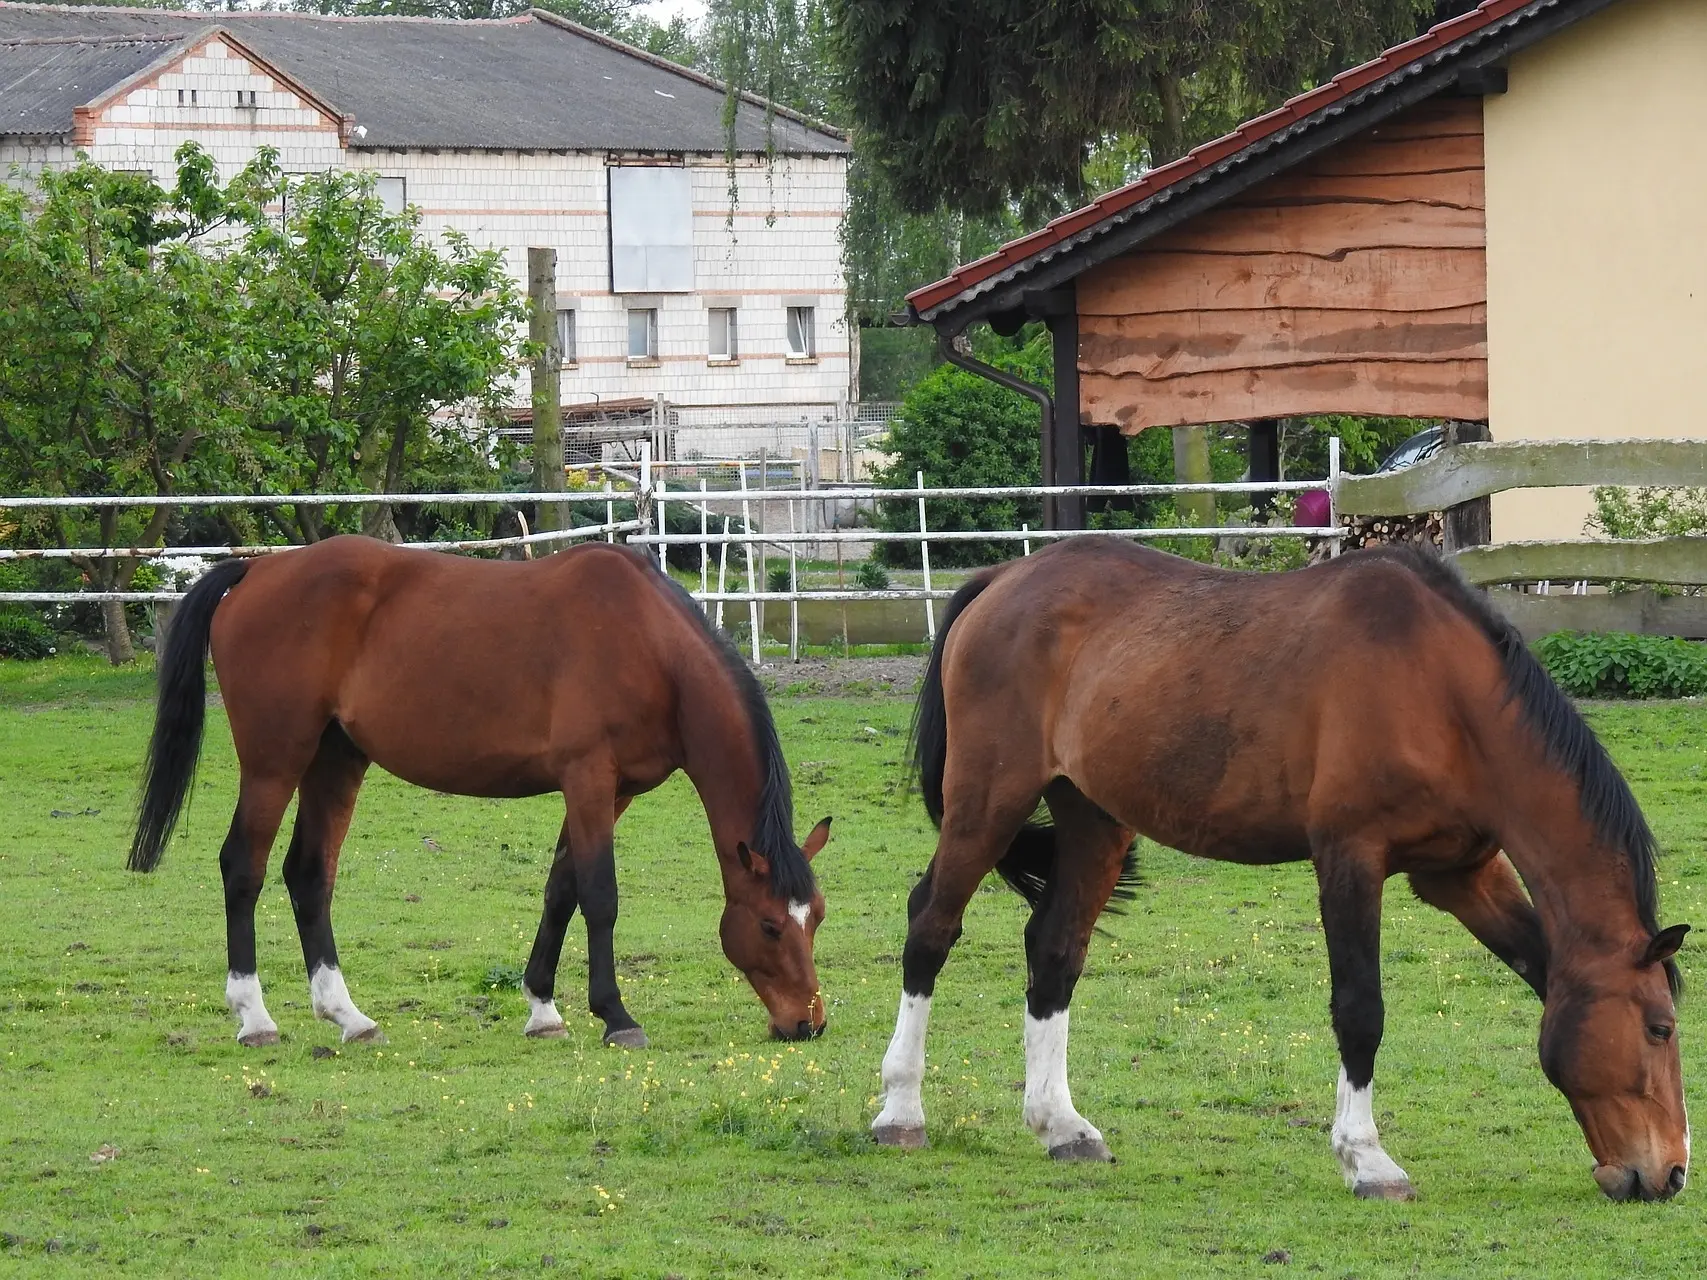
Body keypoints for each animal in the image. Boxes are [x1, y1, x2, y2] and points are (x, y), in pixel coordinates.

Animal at [128, 539, 833, 1051]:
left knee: (309, 873)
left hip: (335, 760)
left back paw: (348, 1016)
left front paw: (544, 1008)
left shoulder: (613, 790)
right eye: (770, 926)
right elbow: (599, 896)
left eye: (817, 919)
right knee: (242, 867)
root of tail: (259, 568)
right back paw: (254, 1018)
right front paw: (616, 1016)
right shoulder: (588, 777)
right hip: (275, 762)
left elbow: (562, 889)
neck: (652, 648)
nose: (807, 1023)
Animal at [880, 539, 1693, 1201]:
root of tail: (1003, 578)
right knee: (930, 926)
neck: (1441, 691)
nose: (1670, 1173)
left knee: (1053, 952)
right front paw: (1367, 1160)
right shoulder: (1350, 858)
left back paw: (1061, 1125)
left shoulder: (1461, 875)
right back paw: (899, 1112)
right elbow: (1360, 1010)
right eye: (1659, 1028)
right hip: (987, 801)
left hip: (1092, 821)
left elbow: (1538, 967)